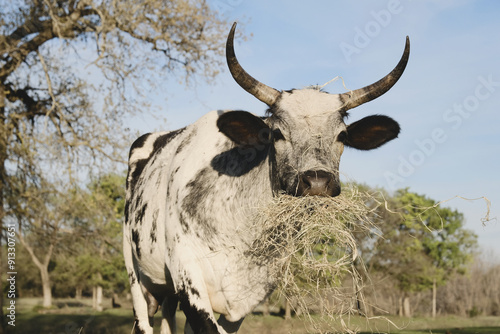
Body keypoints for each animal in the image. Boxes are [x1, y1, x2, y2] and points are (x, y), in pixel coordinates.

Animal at [123, 21, 408, 334]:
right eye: (277, 133)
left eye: (342, 136)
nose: (317, 182)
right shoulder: (189, 279)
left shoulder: (246, 301)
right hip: (138, 278)